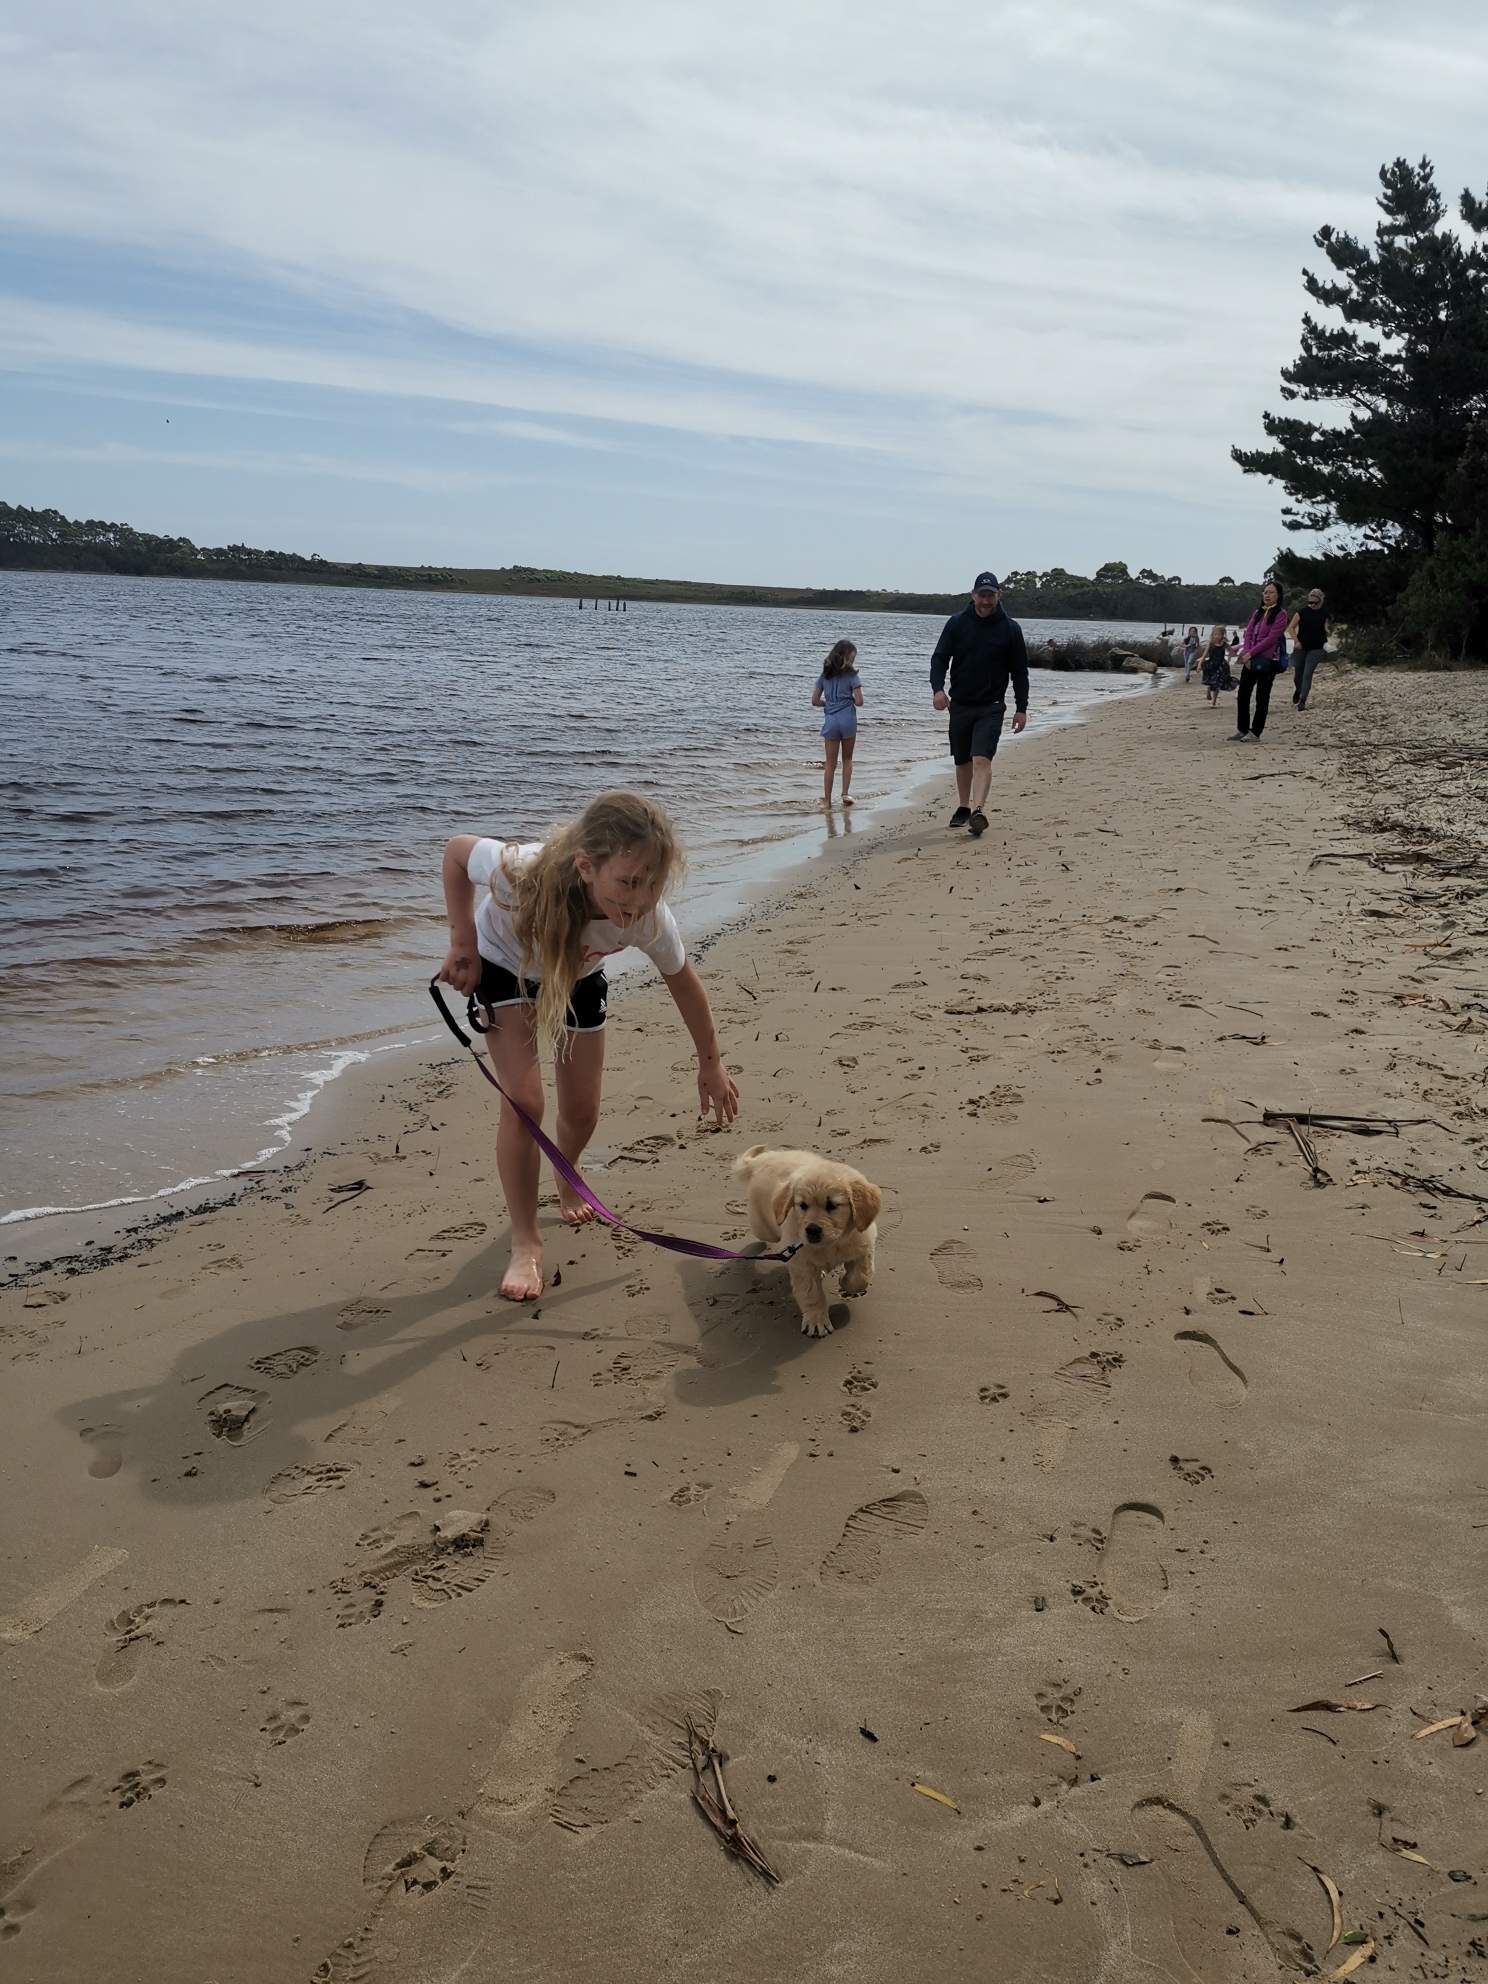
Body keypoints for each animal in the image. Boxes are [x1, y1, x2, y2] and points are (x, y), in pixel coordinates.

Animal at [738, 1142, 884, 1341]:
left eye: (832, 1205)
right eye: (802, 1205)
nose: (812, 1230)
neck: (832, 1244)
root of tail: (764, 1159)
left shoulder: (864, 1247)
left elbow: (861, 1277)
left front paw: (845, 1283)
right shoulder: (802, 1266)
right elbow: (812, 1295)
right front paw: (816, 1322)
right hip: (764, 1227)